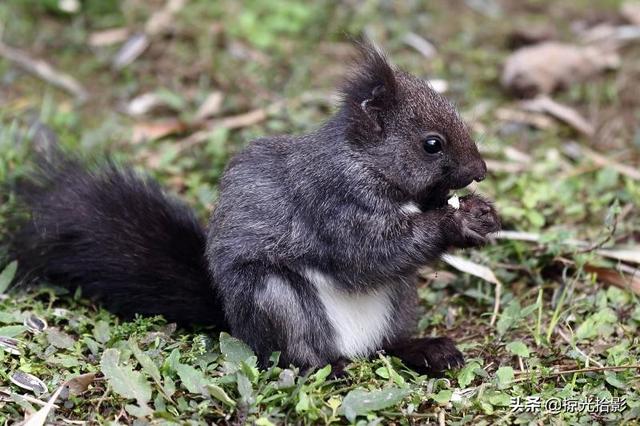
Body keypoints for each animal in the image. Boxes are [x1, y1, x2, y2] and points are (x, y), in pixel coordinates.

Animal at [8, 43, 500, 374]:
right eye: (431, 144)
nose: (480, 170)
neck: (365, 161)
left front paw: (481, 214)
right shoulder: (331, 200)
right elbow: (370, 252)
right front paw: (455, 221)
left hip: (398, 300)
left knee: (387, 344)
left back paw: (426, 350)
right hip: (273, 298)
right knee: (293, 354)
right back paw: (326, 368)